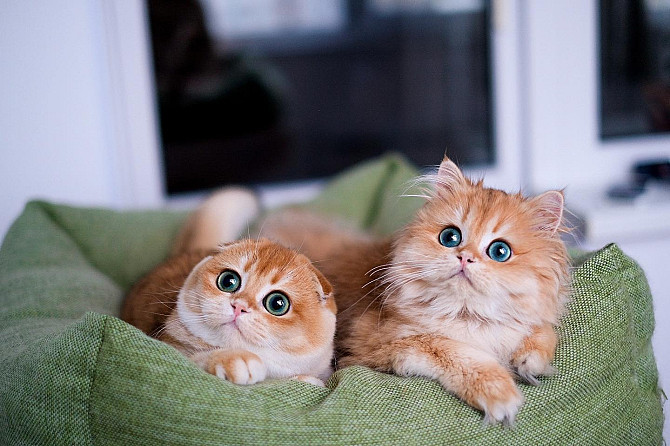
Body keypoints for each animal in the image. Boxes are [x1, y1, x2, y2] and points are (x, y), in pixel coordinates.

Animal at [122, 192, 336, 386]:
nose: (239, 306)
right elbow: (197, 358)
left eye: (277, 303)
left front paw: (305, 379)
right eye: (228, 281)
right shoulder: (171, 347)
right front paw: (234, 359)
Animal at [262, 158, 572, 426]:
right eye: (450, 237)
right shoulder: (385, 345)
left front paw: (532, 362)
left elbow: (542, 333)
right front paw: (500, 394)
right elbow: (461, 354)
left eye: (500, 251)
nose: (465, 257)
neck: (468, 315)